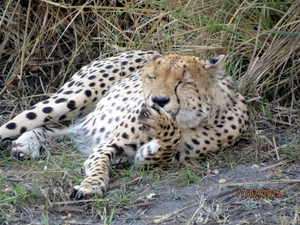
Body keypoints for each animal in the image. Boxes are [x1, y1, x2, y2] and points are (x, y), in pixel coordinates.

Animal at [0, 50, 248, 199]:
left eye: (183, 82)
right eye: (152, 77)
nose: (158, 100)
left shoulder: (147, 160)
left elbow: (163, 149)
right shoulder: (108, 145)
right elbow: (99, 165)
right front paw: (91, 186)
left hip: (81, 121)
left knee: (57, 129)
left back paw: (25, 145)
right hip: (71, 99)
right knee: (18, 123)